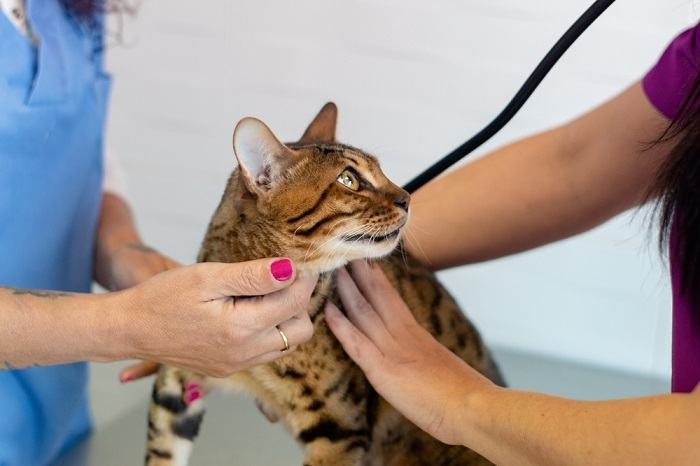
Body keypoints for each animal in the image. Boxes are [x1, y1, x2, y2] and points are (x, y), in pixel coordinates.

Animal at [145, 104, 504, 464]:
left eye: (381, 171)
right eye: (349, 179)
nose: (407, 198)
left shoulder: (337, 428)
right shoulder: (174, 384)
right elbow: (161, 452)